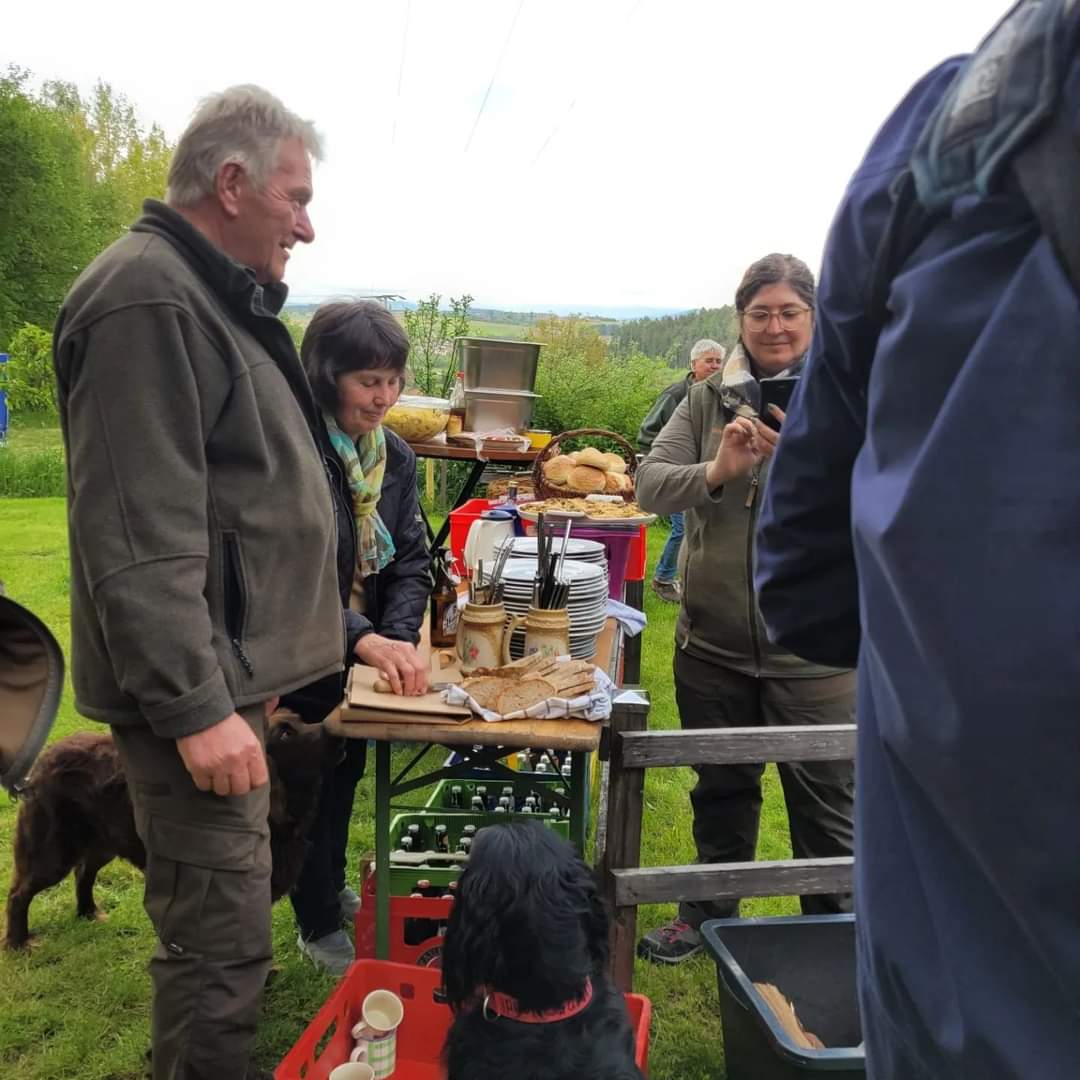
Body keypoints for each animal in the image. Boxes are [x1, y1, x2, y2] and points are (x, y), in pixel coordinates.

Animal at [3, 712, 332, 950]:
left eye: (301, 720)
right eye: (286, 733)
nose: (333, 731)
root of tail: (41, 762)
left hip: (103, 843)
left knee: (83, 873)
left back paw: (88, 912)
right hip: (52, 851)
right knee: (20, 892)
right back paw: (18, 943)